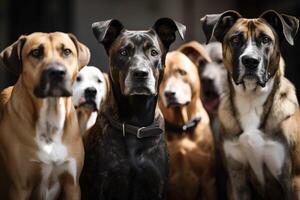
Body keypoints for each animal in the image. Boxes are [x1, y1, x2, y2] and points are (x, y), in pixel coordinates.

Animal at [202, 10, 300, 199]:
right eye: (235, 39)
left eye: (265, 39)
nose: (250, 61)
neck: (251, 100)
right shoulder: (236, 180)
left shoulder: (293, 180)